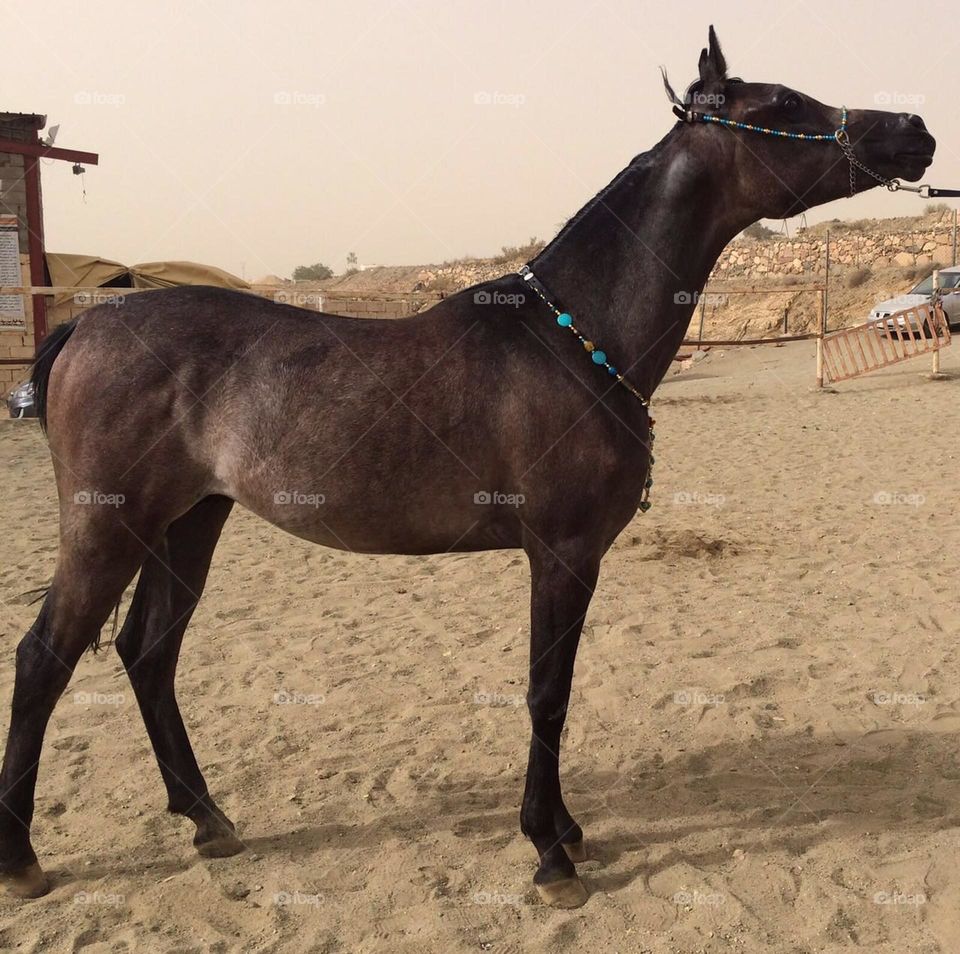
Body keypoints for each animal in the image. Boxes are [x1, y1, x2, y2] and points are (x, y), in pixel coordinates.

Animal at [0, 27, 936, 908]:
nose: (914, 131)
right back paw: (24, 859)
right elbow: (547, 692)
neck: (572, 336)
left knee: (148, 653)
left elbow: (556, 690)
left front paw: (566, 828)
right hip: (109, 525)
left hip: (189, 522)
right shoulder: (562, 552)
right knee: (45, 657)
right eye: (784, 102)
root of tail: (85, 325)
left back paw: (208, 819)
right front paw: (551, 853)